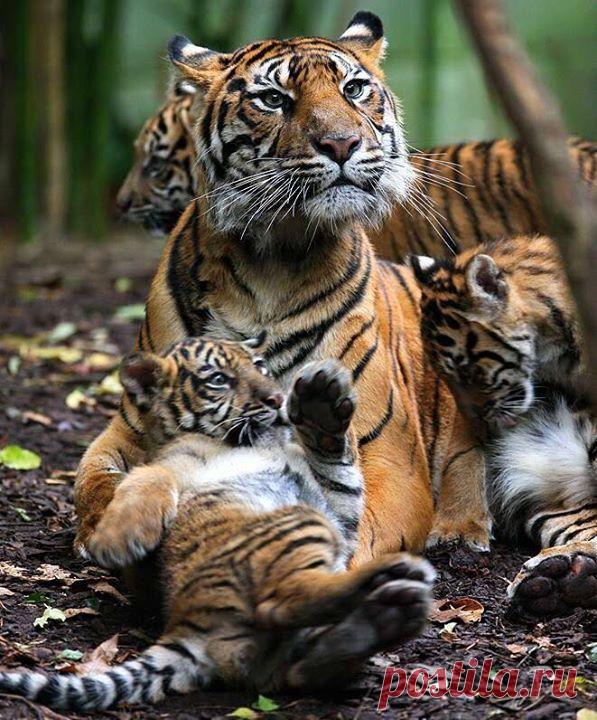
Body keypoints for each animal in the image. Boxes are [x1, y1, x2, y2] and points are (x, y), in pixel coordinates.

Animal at [0, 338, 434, 711]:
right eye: (219, 380)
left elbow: (336, 462)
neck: (257, 438)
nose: (277, 398)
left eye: (259, 365)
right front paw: (116, 541)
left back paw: (386, 614)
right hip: (297, 524)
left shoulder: (337, 508)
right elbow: (148, 477)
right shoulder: (173, 463)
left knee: (300, 666)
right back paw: (391, 583)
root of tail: (189, 628)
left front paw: (320, 401)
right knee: (281, 601)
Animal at [75, 10, 503, 617]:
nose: (342, 143)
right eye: (273, 99)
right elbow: (93, 486)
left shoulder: (387, 456)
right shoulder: (124, 430)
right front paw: (116, 531)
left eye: (355, 90)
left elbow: (356, 525)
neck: (271, 265)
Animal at [409, 235, 597, 616]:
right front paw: (457, 531)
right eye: (448, 375)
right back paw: (563, 578)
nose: (478, 420)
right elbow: (463, 457)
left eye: (468, 370)